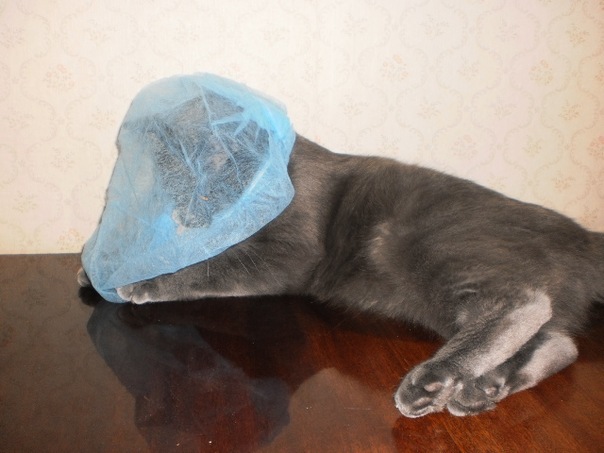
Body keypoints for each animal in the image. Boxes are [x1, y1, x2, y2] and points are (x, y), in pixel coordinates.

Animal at [78, 135, 604, 417]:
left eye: (205, 194)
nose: (186, 220)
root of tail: (581, 237)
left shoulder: (289, 254)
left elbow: (211, 267)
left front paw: (140, 282)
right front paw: (91, 269)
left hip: (430, 242)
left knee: (522, 302)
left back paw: (432, 382)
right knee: (560, 340)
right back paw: (482, 388)